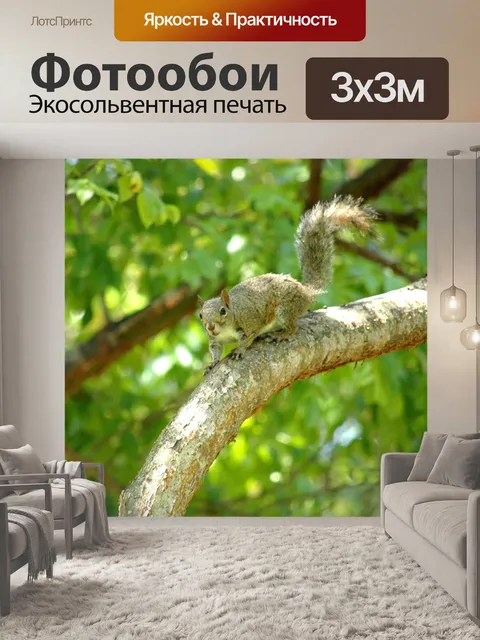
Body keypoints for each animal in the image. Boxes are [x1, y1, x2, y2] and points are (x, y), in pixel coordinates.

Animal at [198, 195, 377, 373]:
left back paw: (280, 335)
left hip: (285, 309)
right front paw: (212, 363)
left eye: (222, 311)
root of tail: (305, 293)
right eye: (200, 315)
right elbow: (215, 350)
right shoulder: (215, 340)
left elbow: (247, 340)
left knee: (292, 328)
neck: (228, 323)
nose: (210, 326)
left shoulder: (250, 324)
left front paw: (240, 350)